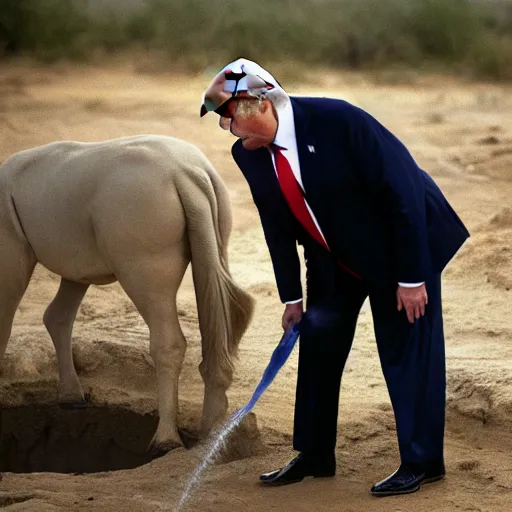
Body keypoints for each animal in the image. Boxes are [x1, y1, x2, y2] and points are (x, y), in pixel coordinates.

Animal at [0, 135, 255, 452]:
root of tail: (187, 173)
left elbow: (3, 321)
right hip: (207, 202)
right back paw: (208, 434)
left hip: (139, 207)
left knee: (153, 297)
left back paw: (165, 442)